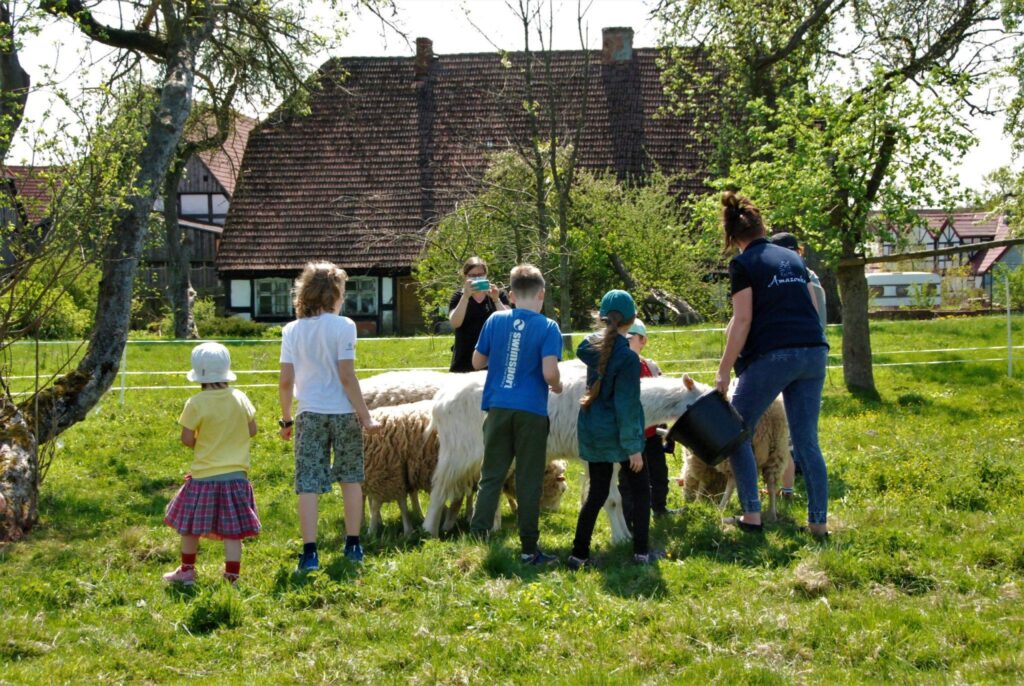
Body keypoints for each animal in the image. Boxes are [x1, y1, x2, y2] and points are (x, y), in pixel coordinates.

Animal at [421, 362, 704, 544]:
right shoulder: (596, 457)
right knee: (439, 488)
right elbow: (608, 499)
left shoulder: (610, 459)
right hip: (458, 452)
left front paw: (623, 537)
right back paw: (429, 531)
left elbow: (616, 499)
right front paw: (621, 539)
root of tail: (439, 402)